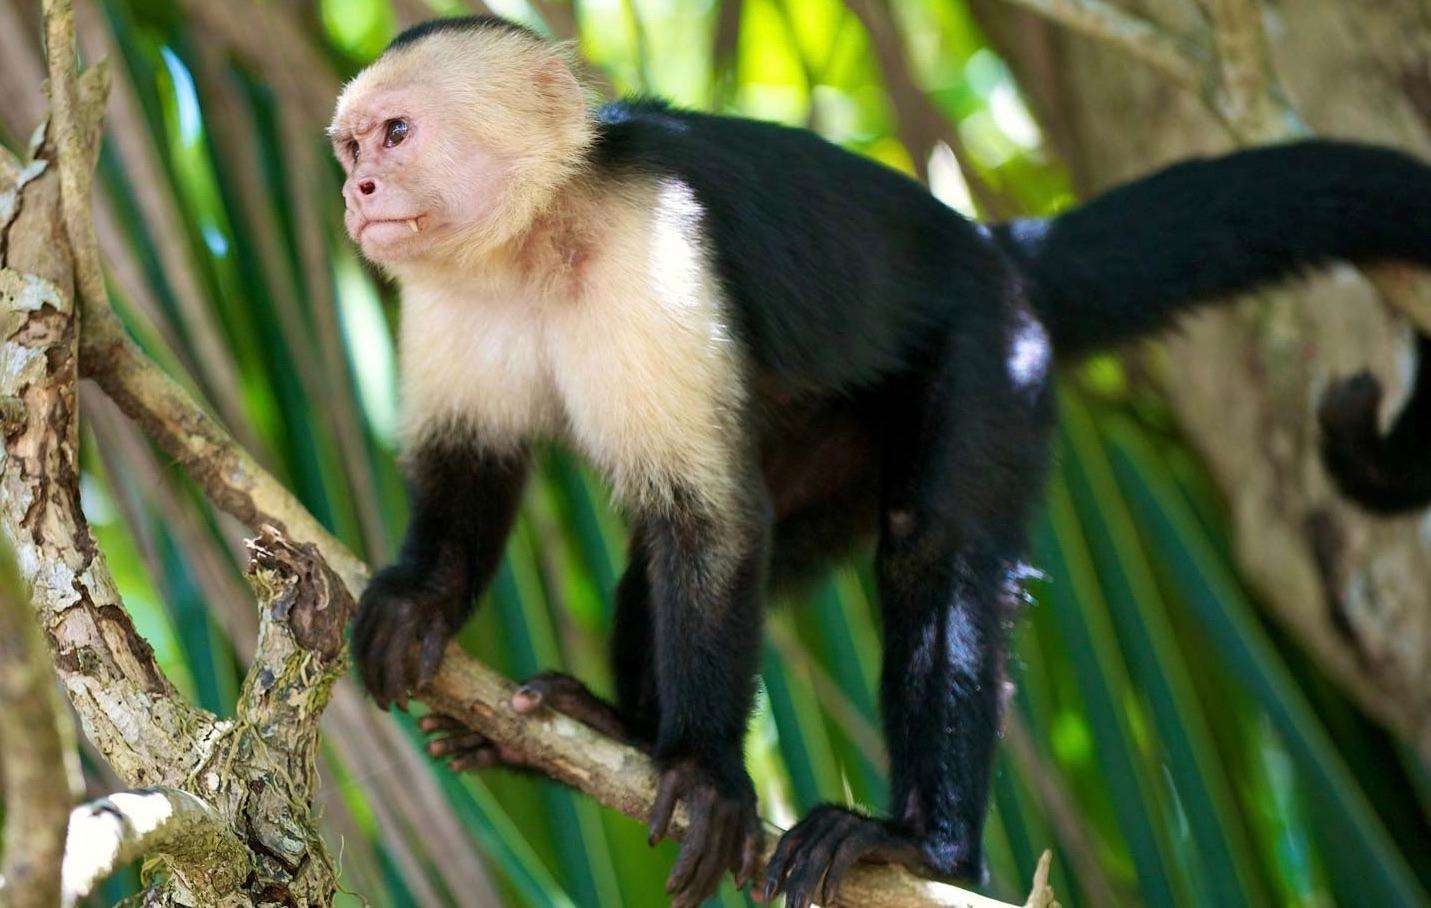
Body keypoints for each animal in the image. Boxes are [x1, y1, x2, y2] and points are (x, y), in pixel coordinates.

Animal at [329, 15, 1431, 907]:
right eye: (348, 147)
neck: (532, 239)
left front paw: (706, 771)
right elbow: (476, 468)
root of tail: (995, 247)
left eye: (397, 135)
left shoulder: (653, 250)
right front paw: (422, 602)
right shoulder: (445, 291)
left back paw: (924, 845)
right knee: (684, 555)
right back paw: (616, 730)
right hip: (834, 450)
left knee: (928, 550)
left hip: (993, 354)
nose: (355, 192)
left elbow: (710, 516)